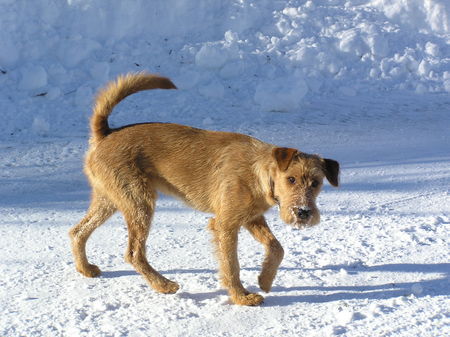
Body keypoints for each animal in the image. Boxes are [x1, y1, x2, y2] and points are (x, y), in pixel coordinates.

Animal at [68, 72, 340, 306]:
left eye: (316, 183)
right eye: (291, 179)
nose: (303, 212)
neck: (259, 172)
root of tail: (105, 134)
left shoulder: (251, 218)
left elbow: (277, 247)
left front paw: (265, 279)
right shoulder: (225, 225)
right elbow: (231, 265)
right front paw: (241, 297)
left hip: (111, 200)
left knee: (78, 231)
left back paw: (85, 268)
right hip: (139, 203)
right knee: (134, 252)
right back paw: (163, 285)